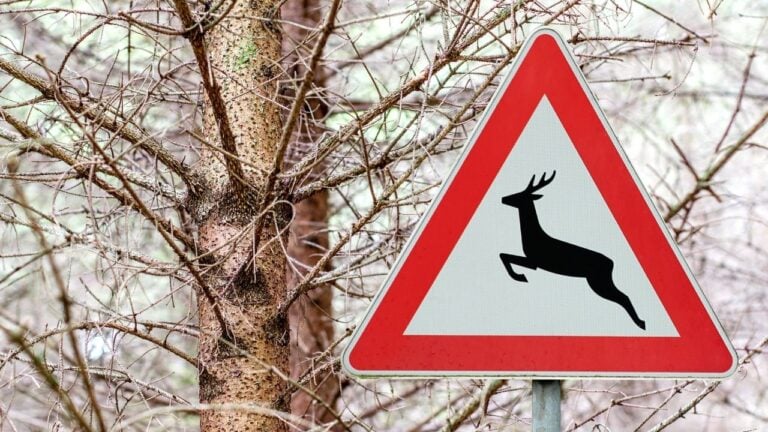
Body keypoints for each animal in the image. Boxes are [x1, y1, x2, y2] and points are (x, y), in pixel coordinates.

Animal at [499, 171, 647, 330]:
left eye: (519, 195)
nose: (503, 198)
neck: (533, 236)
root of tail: (611, 263)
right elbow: (504, 255)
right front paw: (519, 275)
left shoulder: (534, 262)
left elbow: (505, 256)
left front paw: (520, 276)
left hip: (599, 282)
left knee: (624, 297)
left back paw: (641, 323)